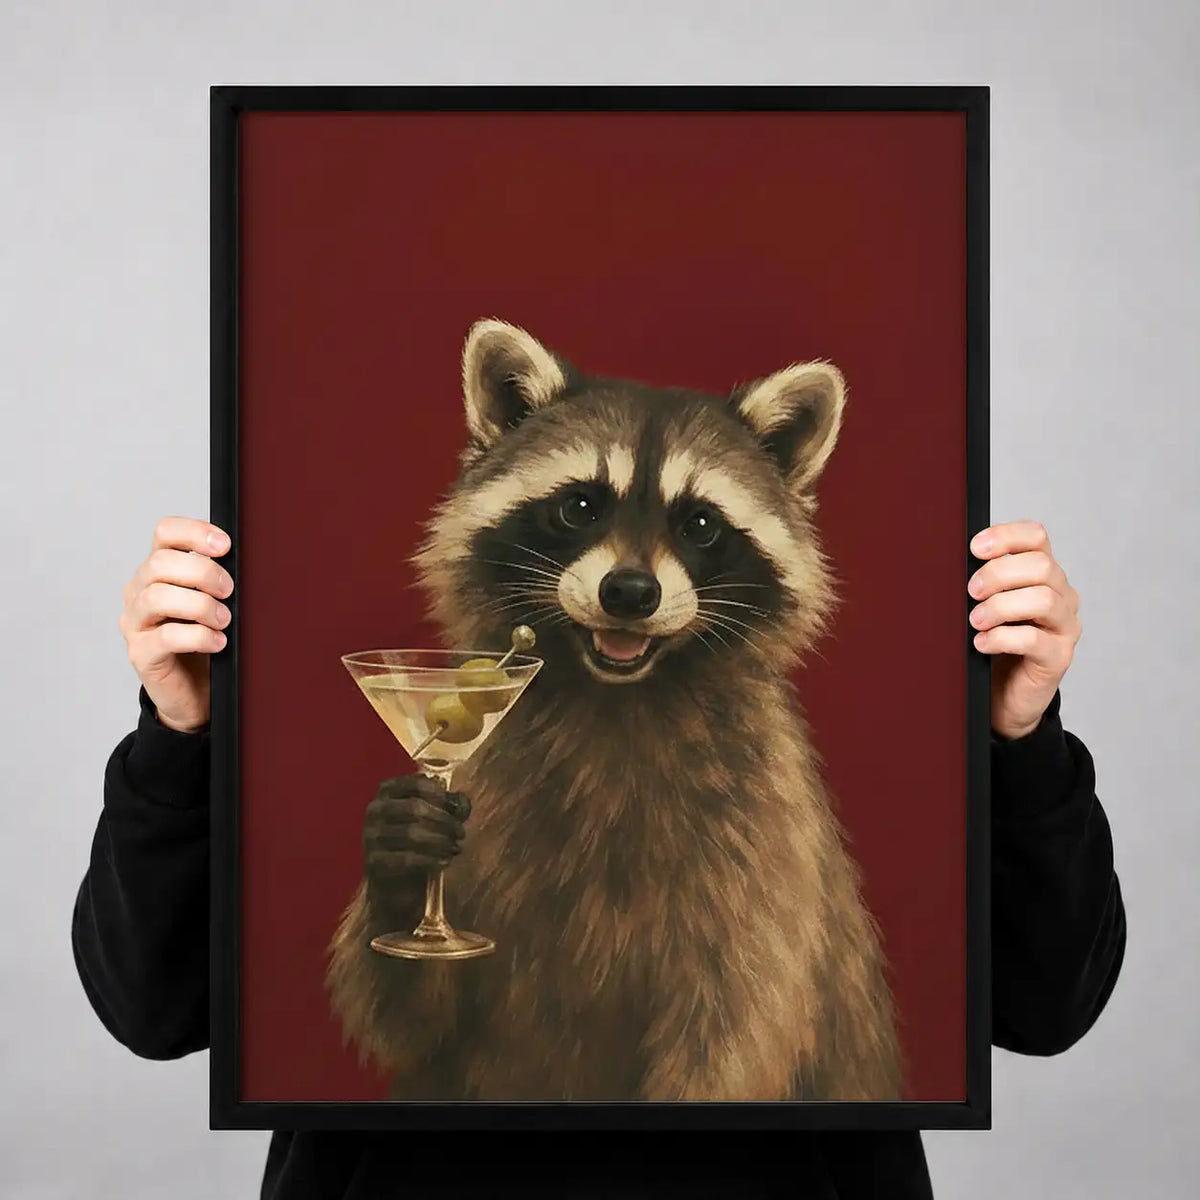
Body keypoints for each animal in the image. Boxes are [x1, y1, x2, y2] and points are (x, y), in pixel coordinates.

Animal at [325, 318, 903, 1102]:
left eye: (700, 524)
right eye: (580, 506)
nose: (630, 592)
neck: (616, 693)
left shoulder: (768, 851)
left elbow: (737, 1026)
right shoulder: (485, 800)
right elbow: (407, 1018)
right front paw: (400, 866)